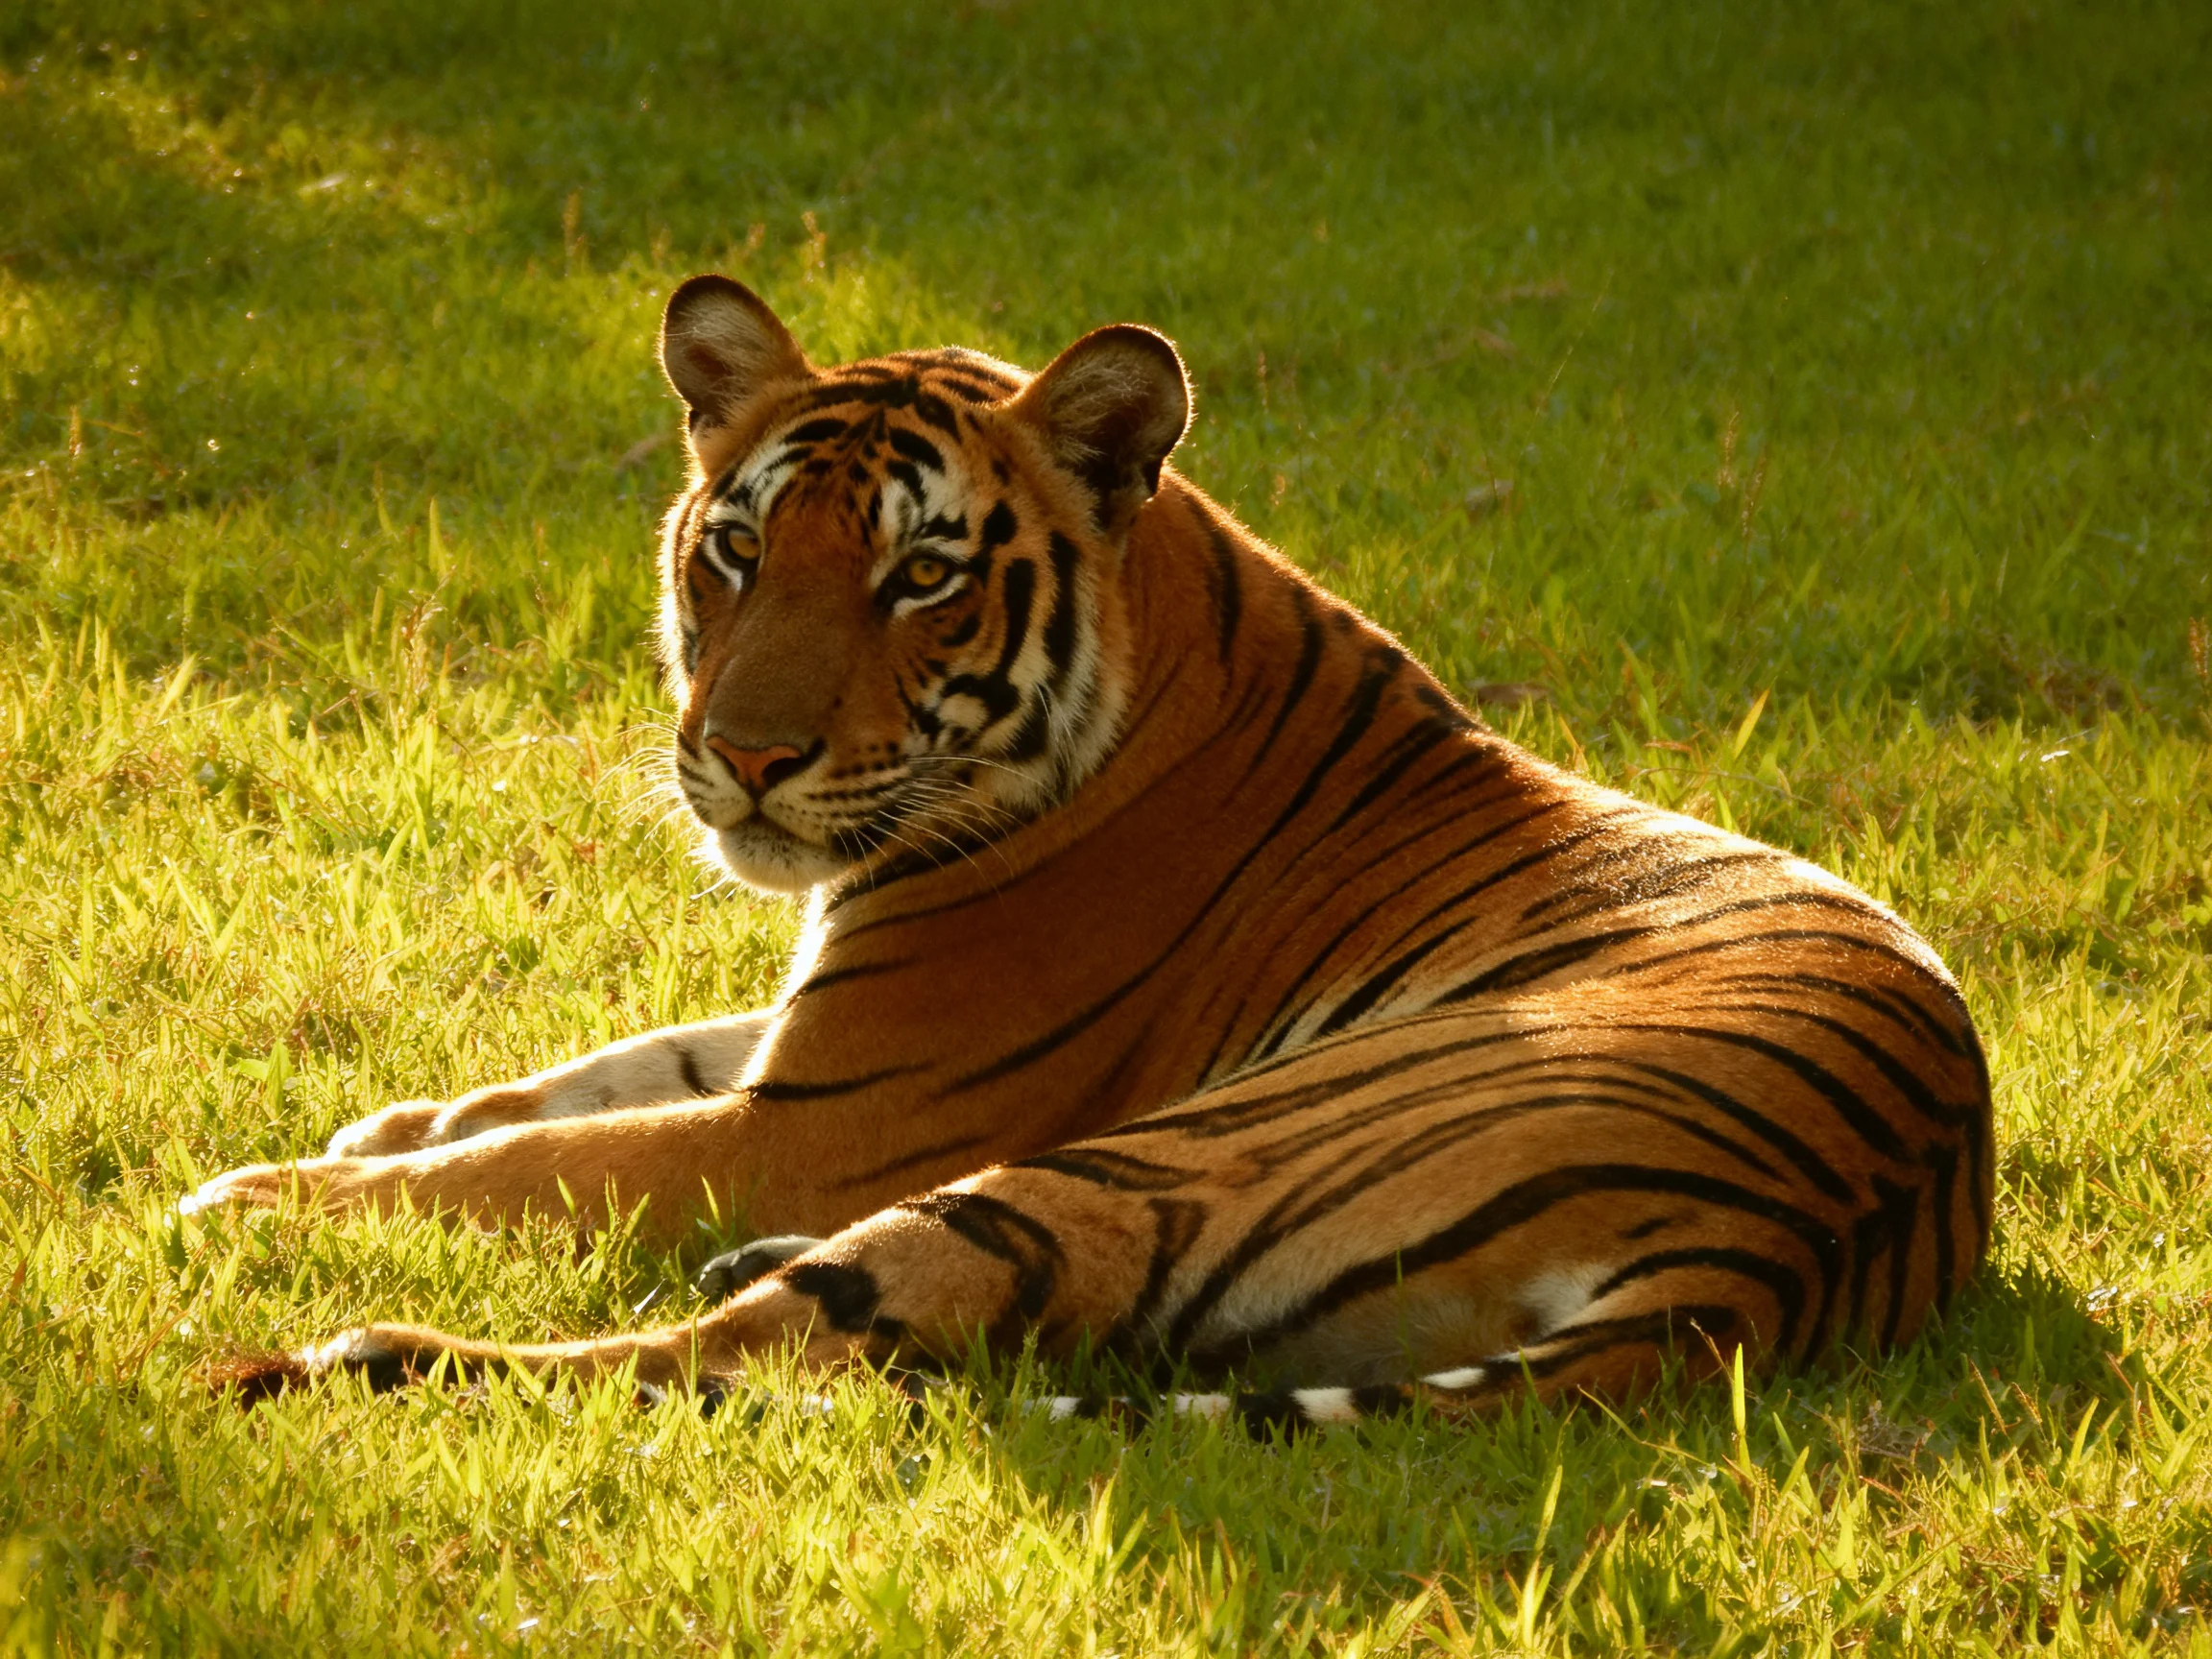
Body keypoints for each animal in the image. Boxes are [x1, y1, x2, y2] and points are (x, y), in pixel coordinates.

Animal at [186, 274, 1994, 1430]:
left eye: (919, 577)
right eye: (741, 549)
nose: (745, 759)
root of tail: (1762, 1257)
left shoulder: (824, 1121)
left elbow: (533, 1163)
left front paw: (260, 1192)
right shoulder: (806, 1038)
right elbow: (588, 1073)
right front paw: (390, 1117)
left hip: (1136, 1159)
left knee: (738, 1356)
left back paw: (331, 1349)